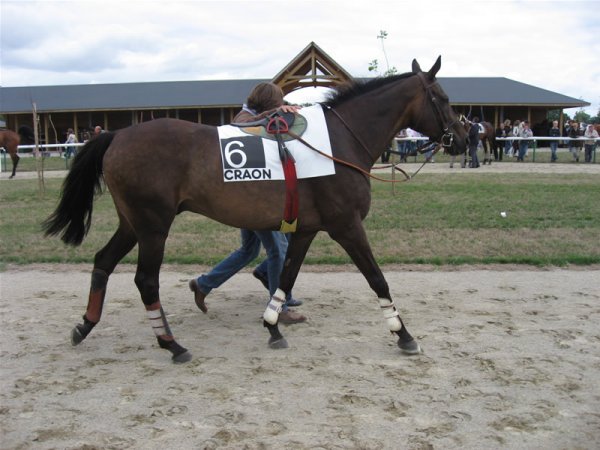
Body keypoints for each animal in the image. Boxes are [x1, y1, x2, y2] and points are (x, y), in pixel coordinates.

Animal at [44, 58, 466, 364]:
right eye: (444, 98)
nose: (462, 137)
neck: (339, 143)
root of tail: (116, 135)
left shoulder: (307, 228)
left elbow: (287, 275)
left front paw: (273, 325)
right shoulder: (346, 226)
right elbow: (377, 279)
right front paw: (404, 334)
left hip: (132, 223)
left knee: (103, 261)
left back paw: (85, 325)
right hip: (153, 226)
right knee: (146, 280)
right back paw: (171, 344)